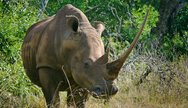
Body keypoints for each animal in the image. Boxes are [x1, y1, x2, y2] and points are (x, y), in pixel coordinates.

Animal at [21, 3, 149, 107]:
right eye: (86, 64)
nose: (110, 90)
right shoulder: (46, 66)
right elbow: (53, 100)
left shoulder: (84, 78)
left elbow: (77, 102)